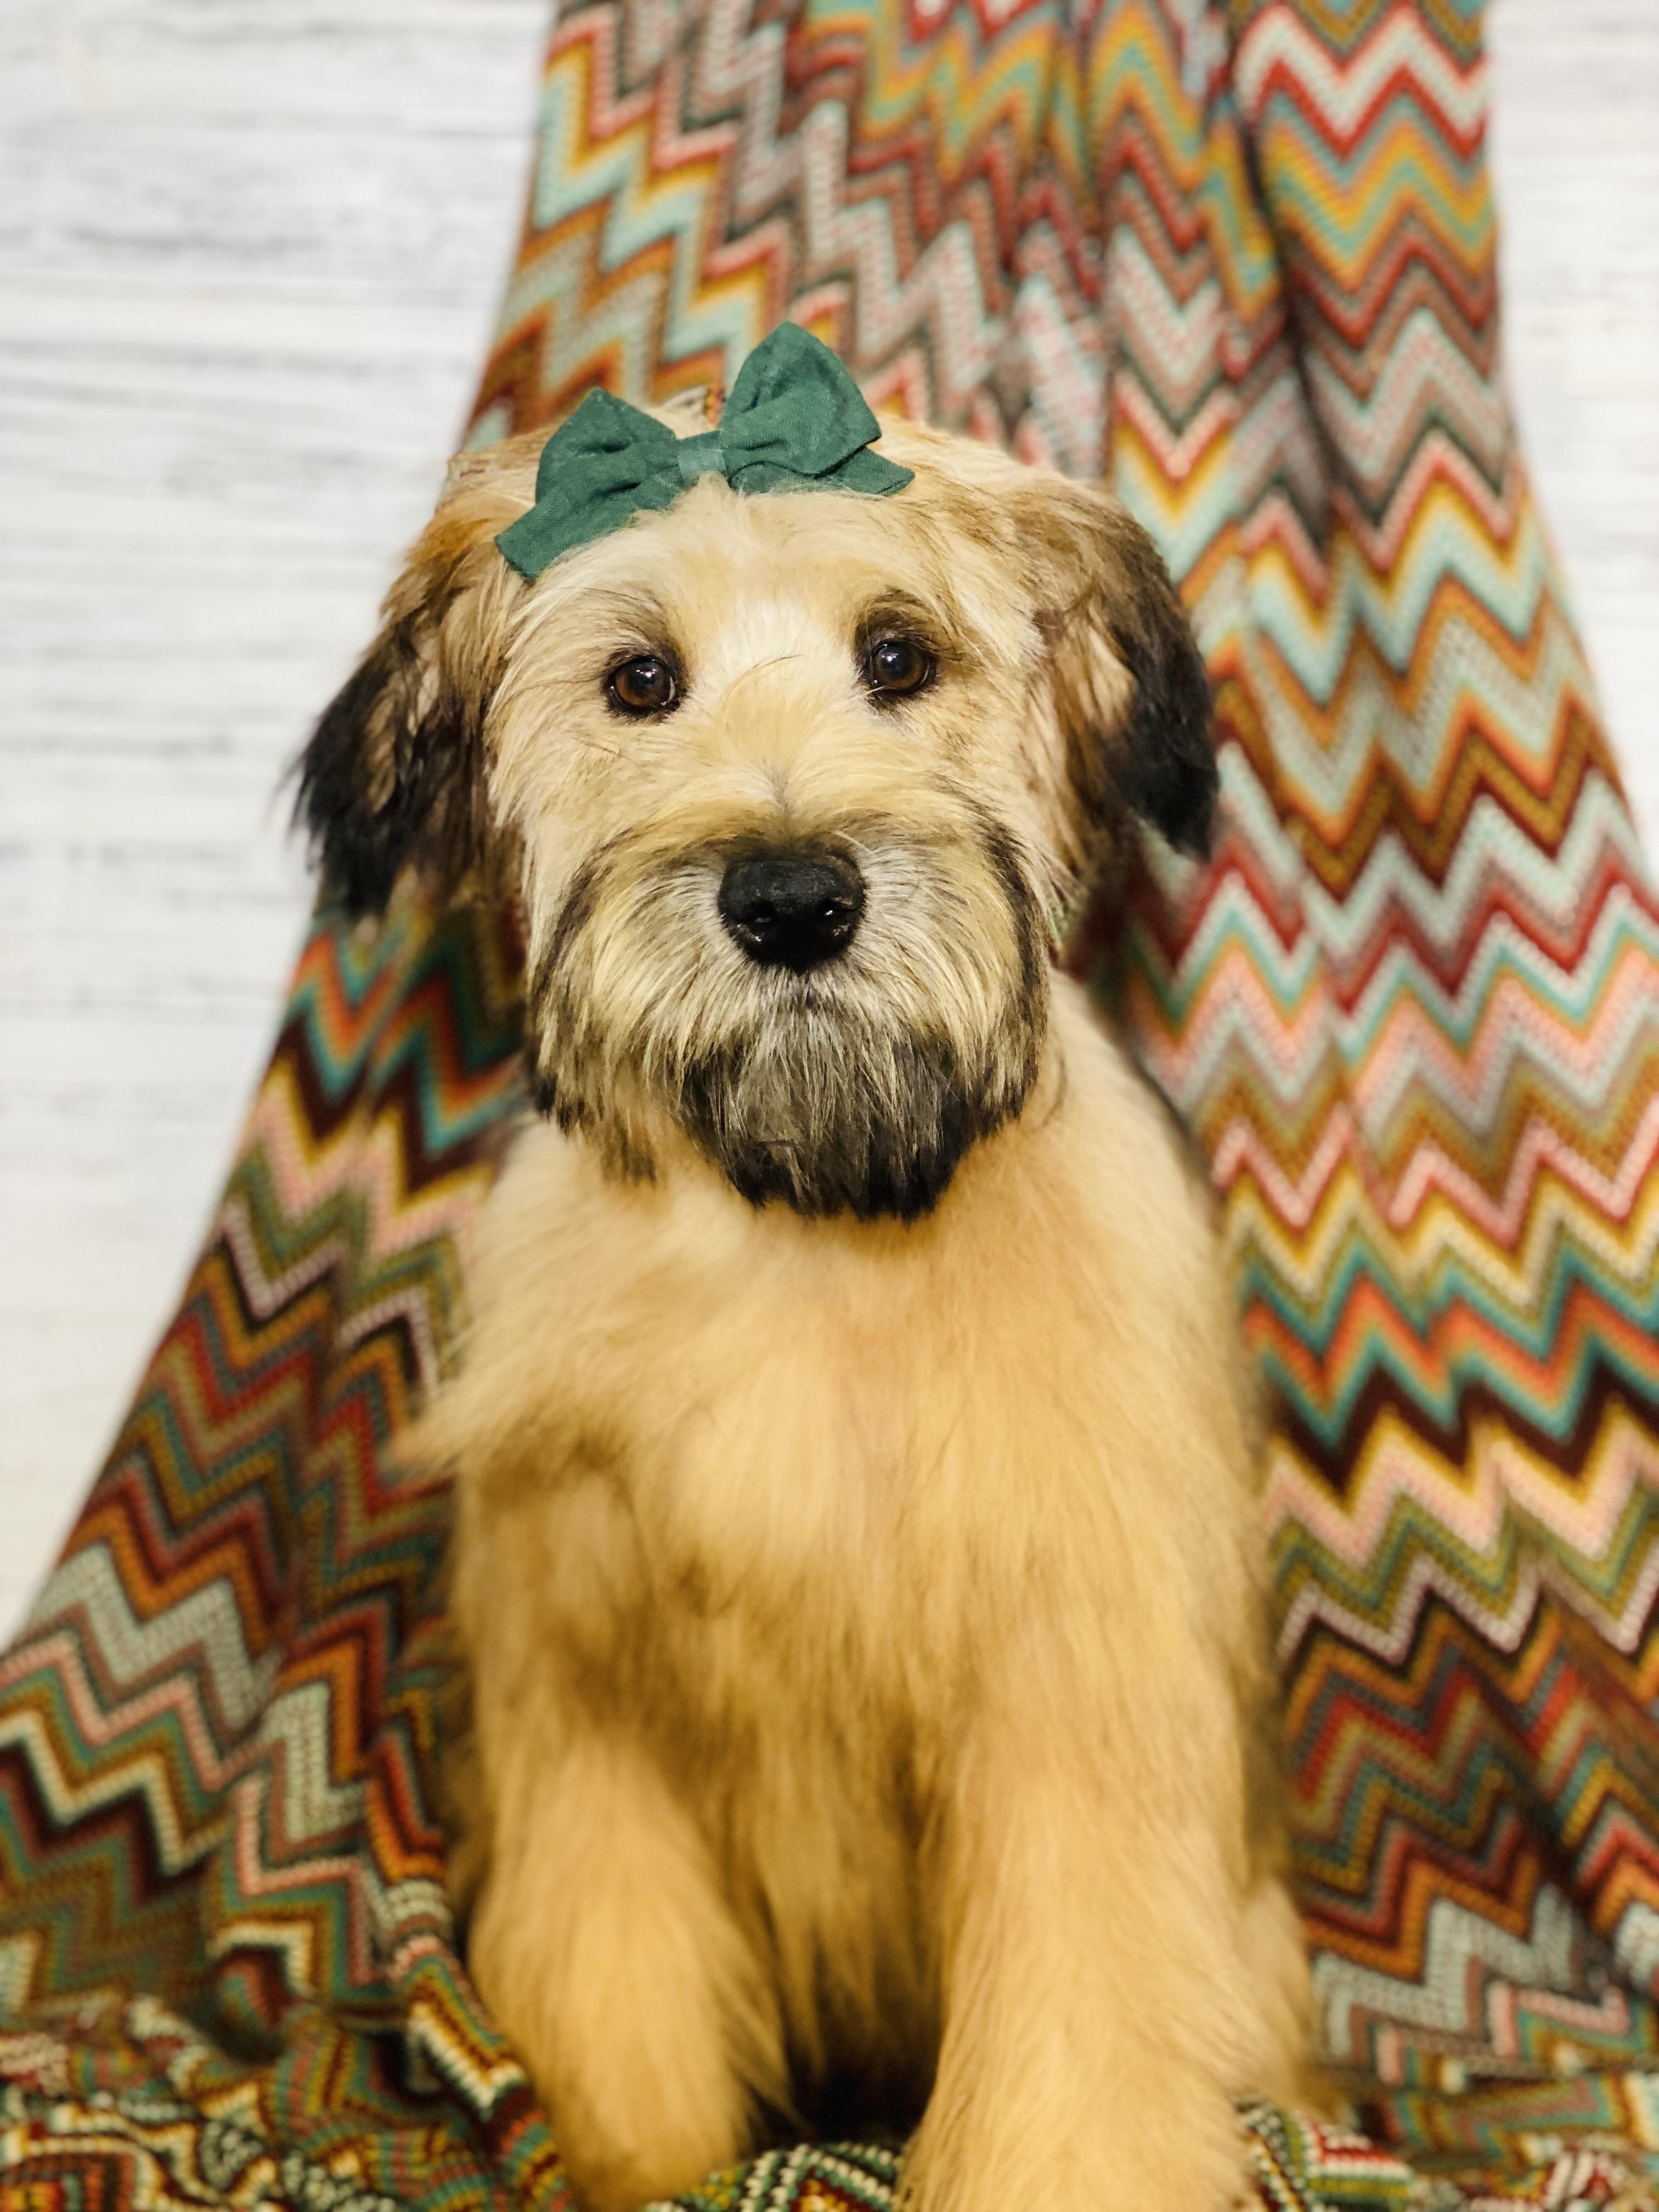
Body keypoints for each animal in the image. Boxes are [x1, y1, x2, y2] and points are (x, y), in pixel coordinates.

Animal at [299, 332, 1312, 2212]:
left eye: (898, 654)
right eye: (640, 681)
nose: (789, 899)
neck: (812, 1226)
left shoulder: (1075, 1717)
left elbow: (1081, 2053)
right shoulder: (596, 1718)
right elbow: (612, 2011)